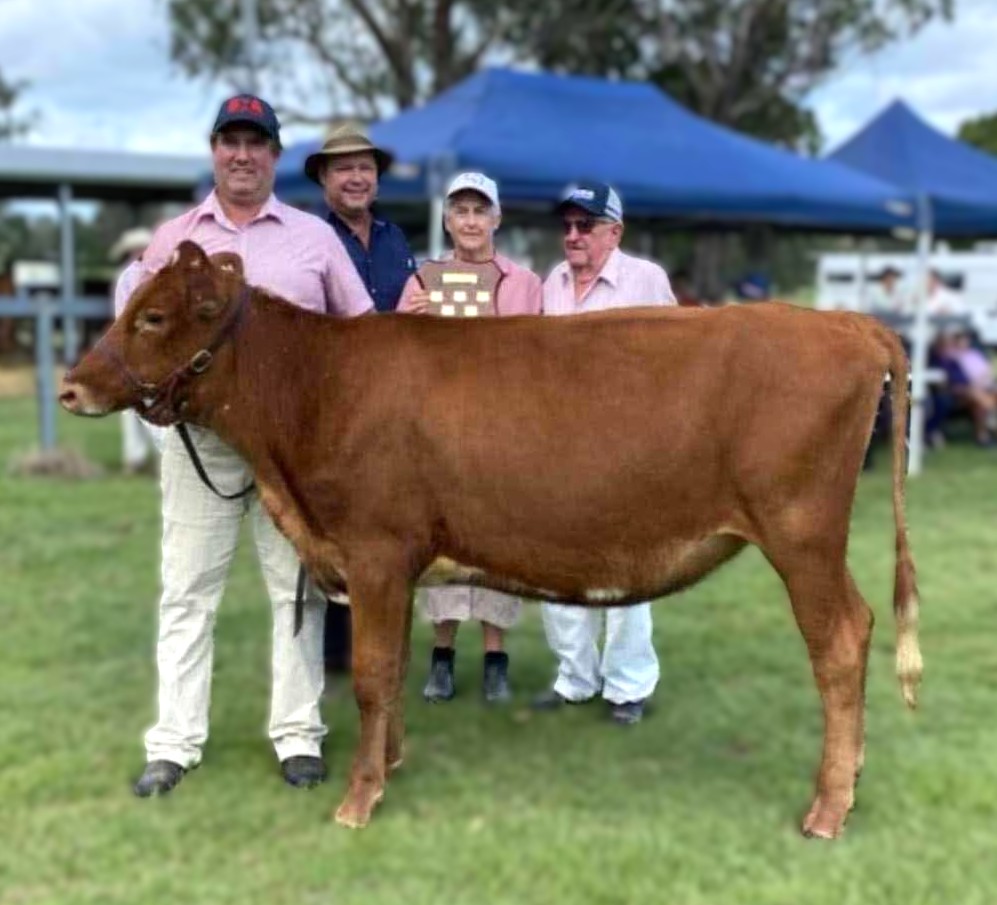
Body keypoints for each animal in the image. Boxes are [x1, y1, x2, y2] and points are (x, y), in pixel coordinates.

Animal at [59, 240, 922, 838]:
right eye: (134, 303)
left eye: (153, 317)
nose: (70, 385)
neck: (315, 391)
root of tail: (840, 322)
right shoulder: (385, 564)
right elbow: (392, 671)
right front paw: (391, 762)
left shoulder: (374, 549)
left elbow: (371, 674)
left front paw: (359, 797)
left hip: (802, 533)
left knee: (840, 642)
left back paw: (827, 806)